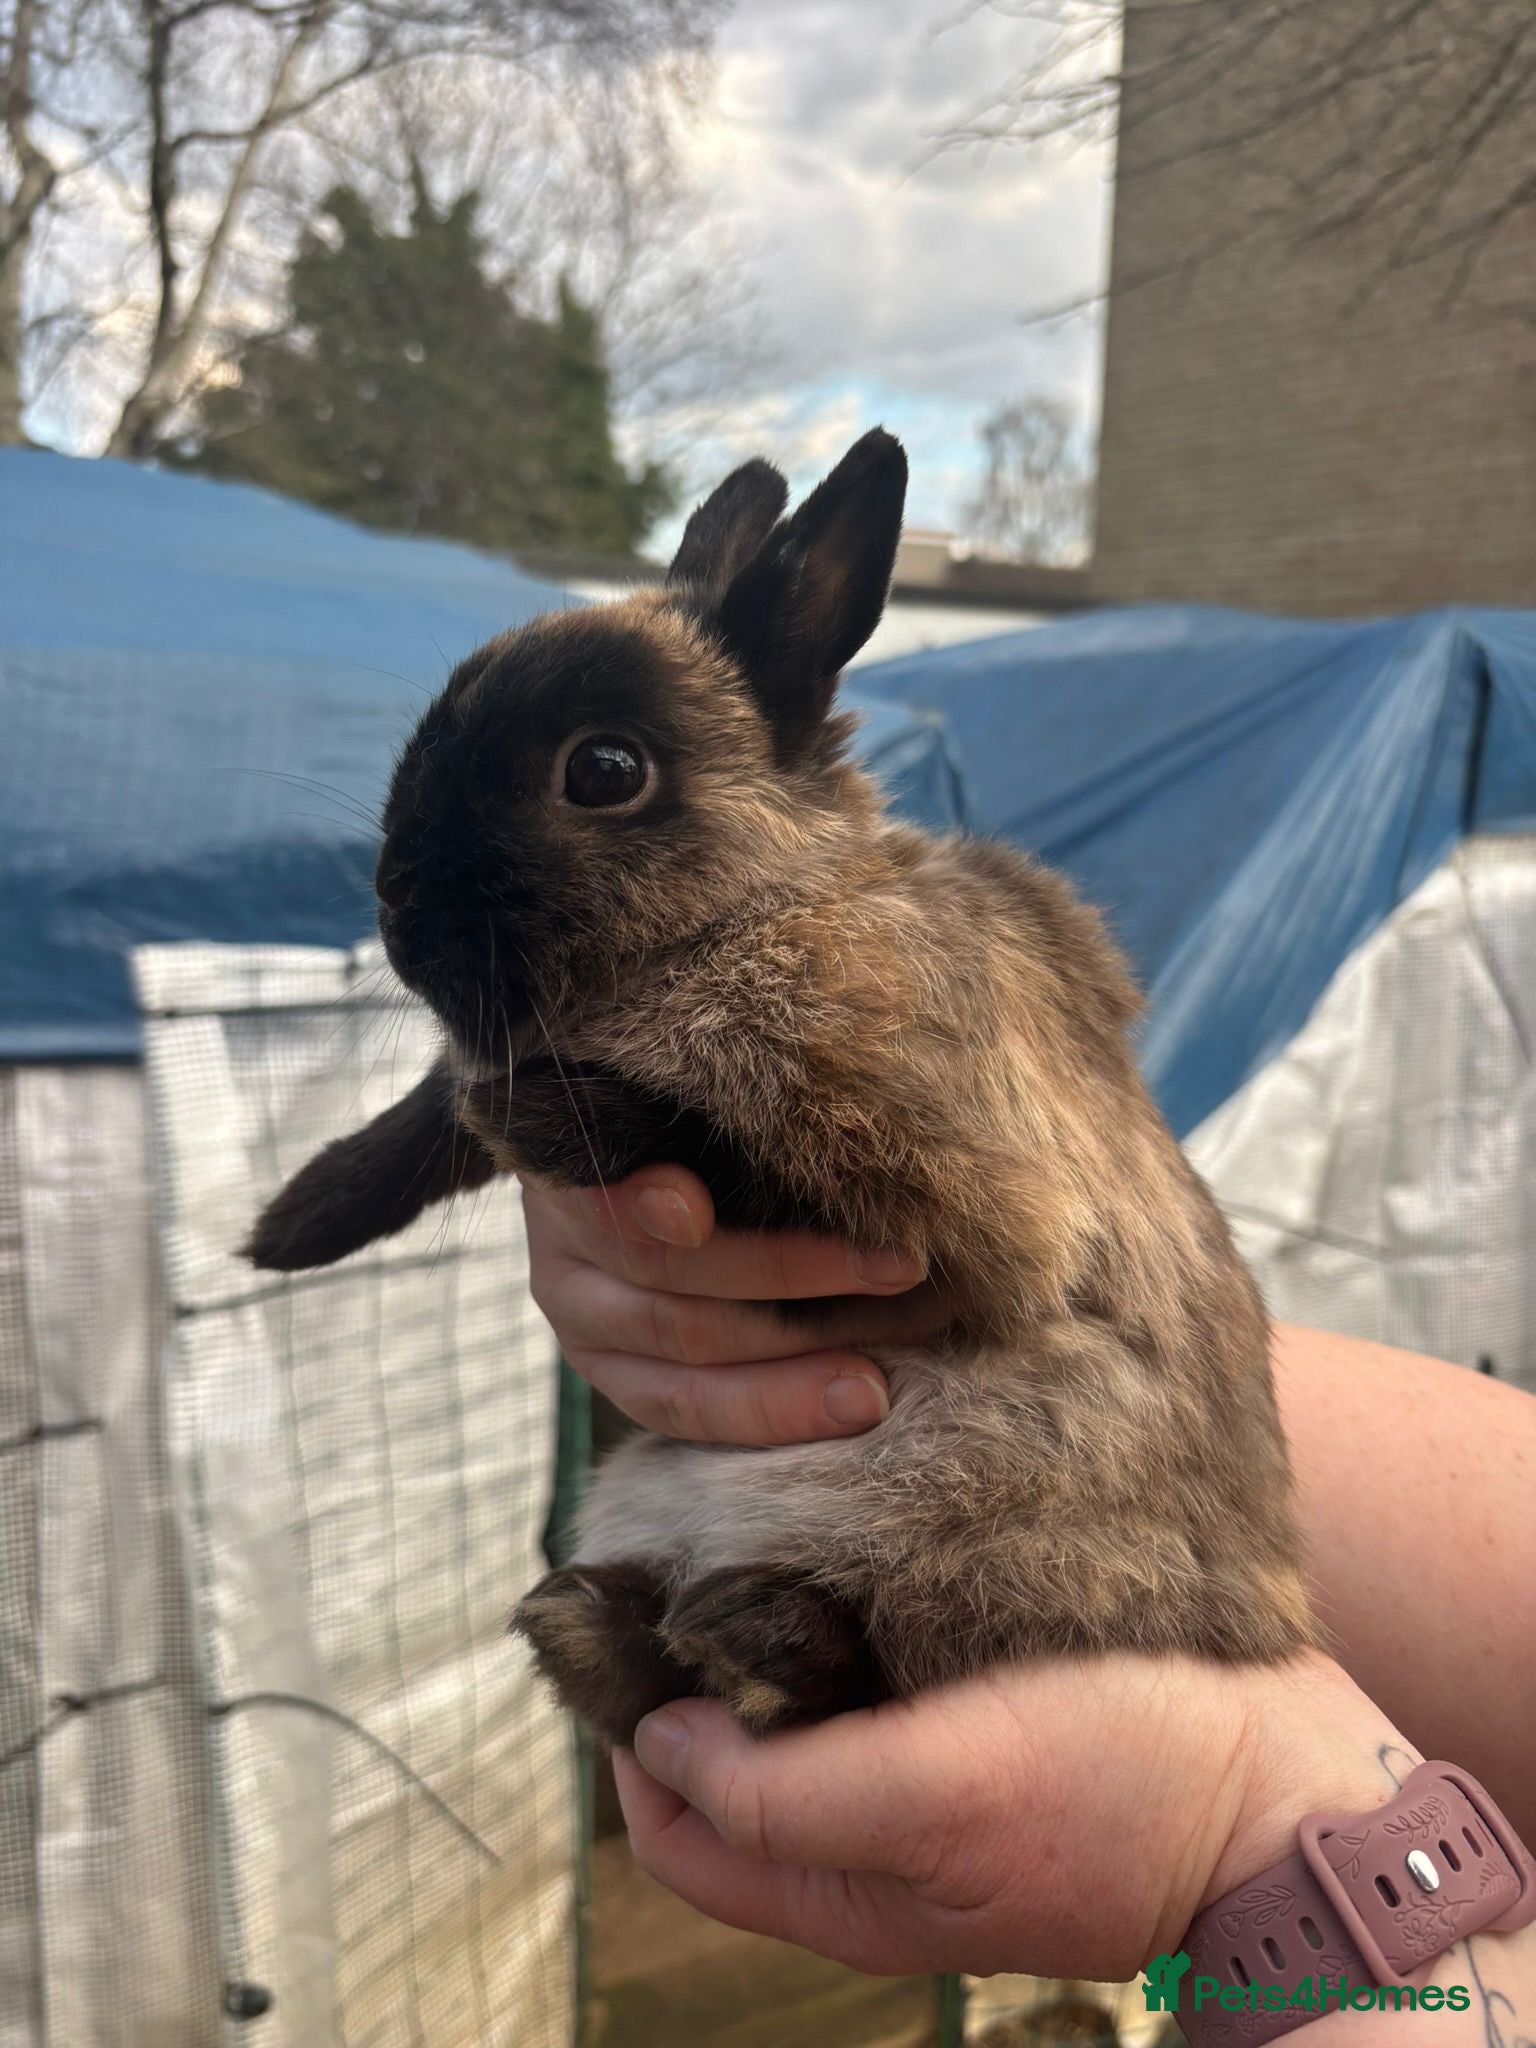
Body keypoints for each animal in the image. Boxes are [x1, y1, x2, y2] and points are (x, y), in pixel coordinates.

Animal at [247, 429, 1317, 1747]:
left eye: (605, 769)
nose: (396, 901)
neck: (750, 906)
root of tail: (1265, 1622)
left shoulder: (957, 1200)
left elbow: (728, 1150)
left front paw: (541, 1116)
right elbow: (421, 1124)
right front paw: (291, 1225)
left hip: (1005, 1531)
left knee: (889, 1649)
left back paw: (750, 1638)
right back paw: (595, 1619)